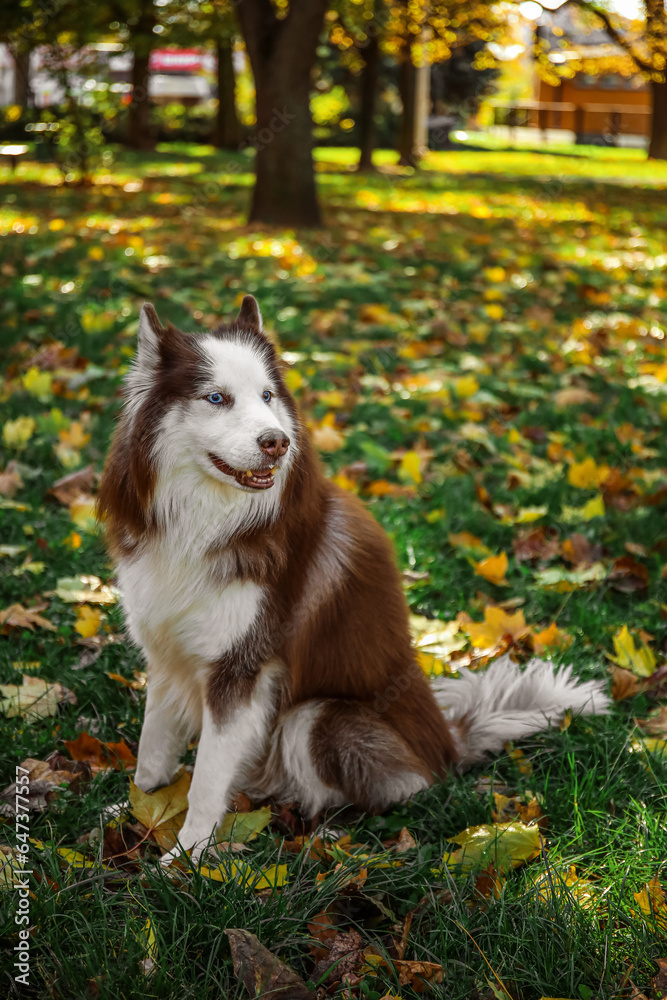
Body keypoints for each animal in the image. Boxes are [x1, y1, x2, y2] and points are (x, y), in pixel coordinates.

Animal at [98, 292, 612, 864]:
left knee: (390, 788)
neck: (204, 522)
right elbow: (152, 748)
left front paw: (185, 859)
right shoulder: (166, 653)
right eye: (216, 398)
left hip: (315, 717)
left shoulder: (240, 671)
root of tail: (447, 742)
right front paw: (137, 808)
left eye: (267, 395)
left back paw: (316, 830)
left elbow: (208, 778)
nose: (277, 442)